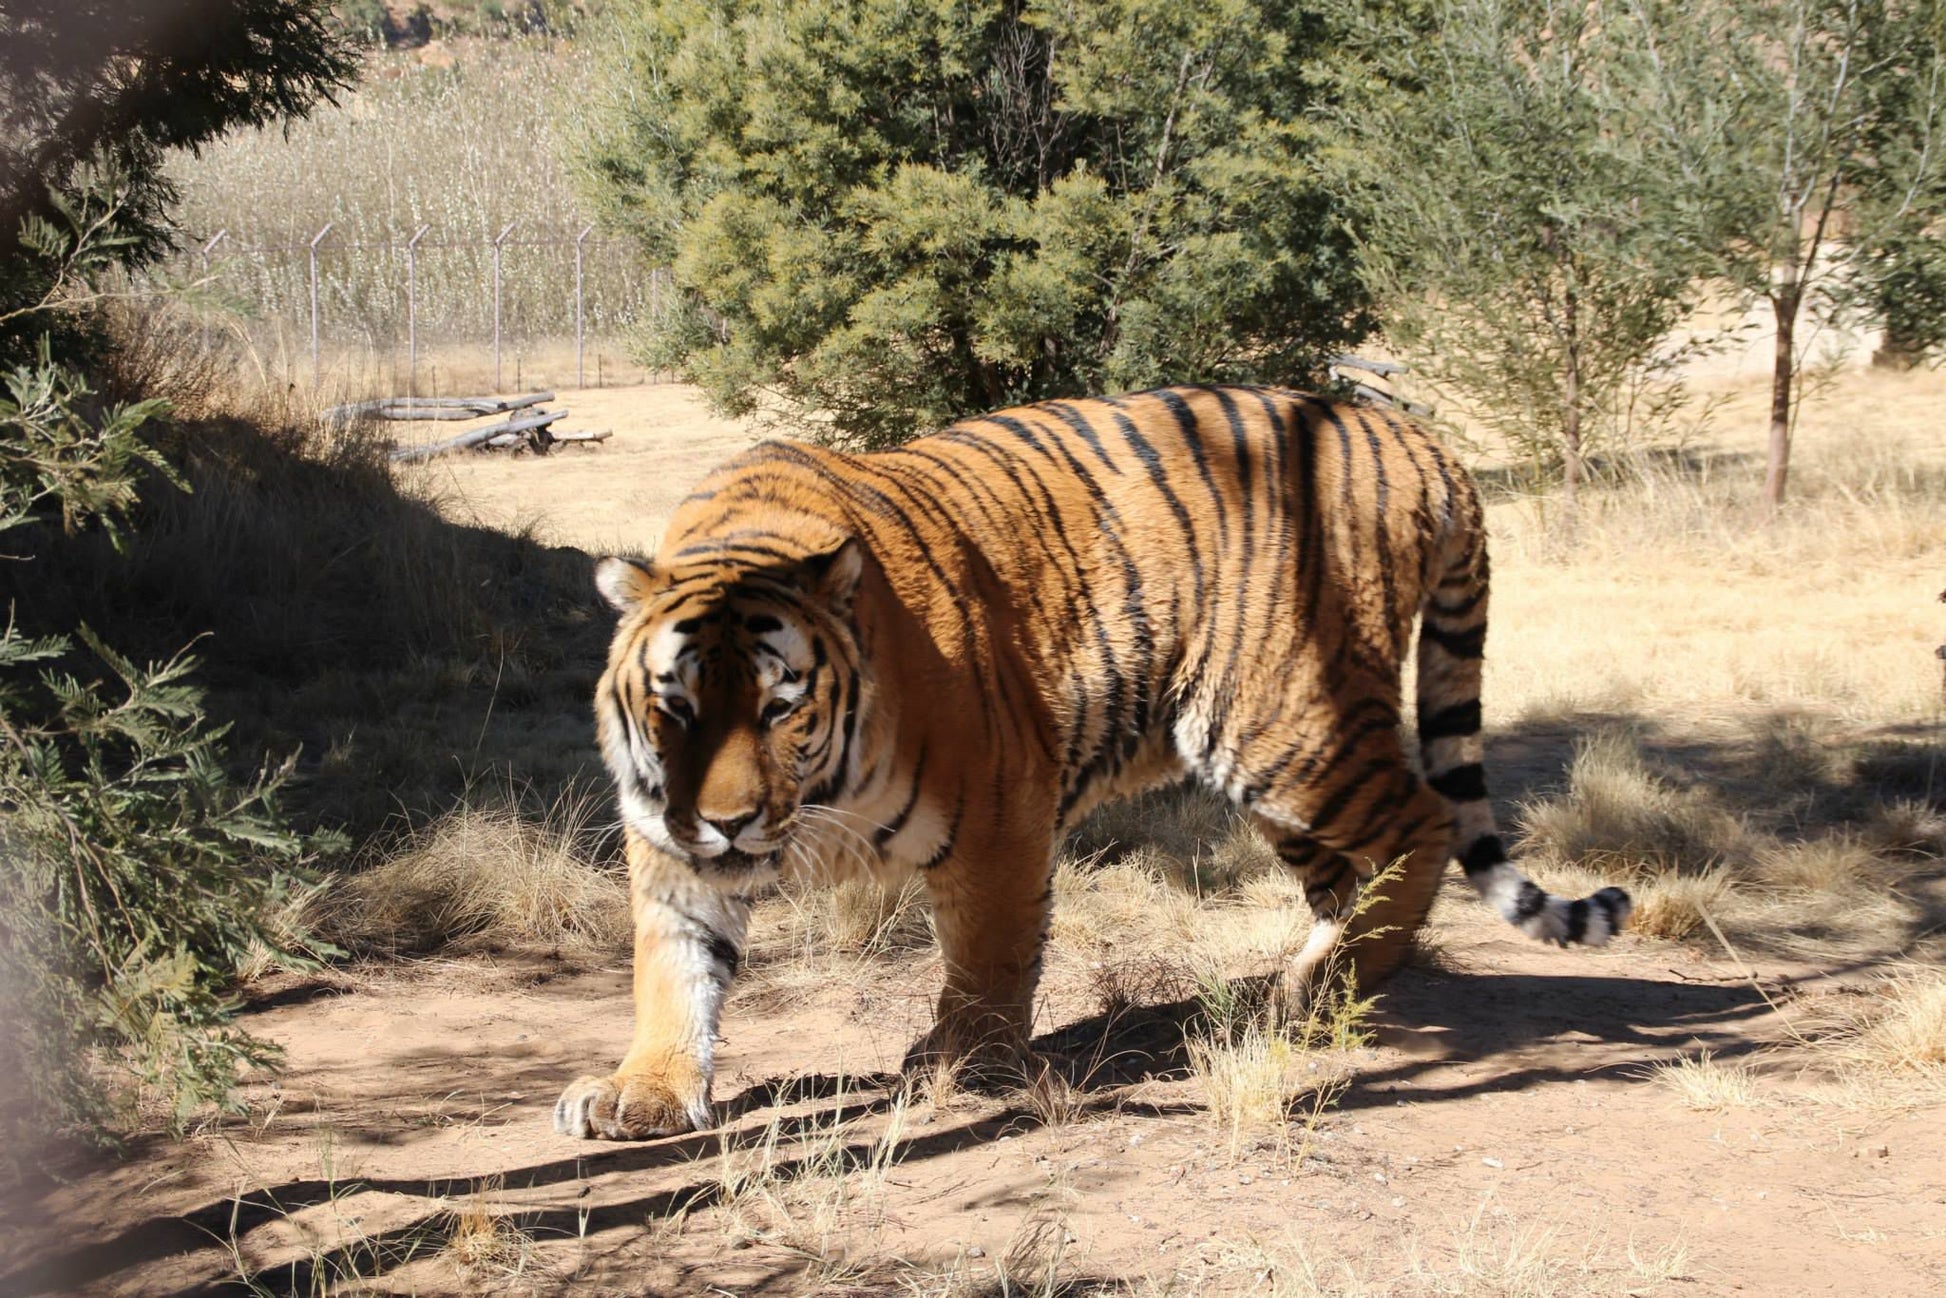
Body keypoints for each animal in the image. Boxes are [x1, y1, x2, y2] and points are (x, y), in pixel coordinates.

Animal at [556, 383, 1634, 1136]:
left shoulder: (1000, 811)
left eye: (781, 707)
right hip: (1269, 770)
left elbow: (988, 955)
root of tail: (1414, 437)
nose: (727, 823)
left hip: (1287, 727)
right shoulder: (667, 843)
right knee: (1350, 871)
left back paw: (1345, 978)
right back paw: (1310, 980)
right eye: (675, 706)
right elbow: (672, 965)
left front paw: (963, 1061)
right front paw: (644, 1091)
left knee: (1424, 817)